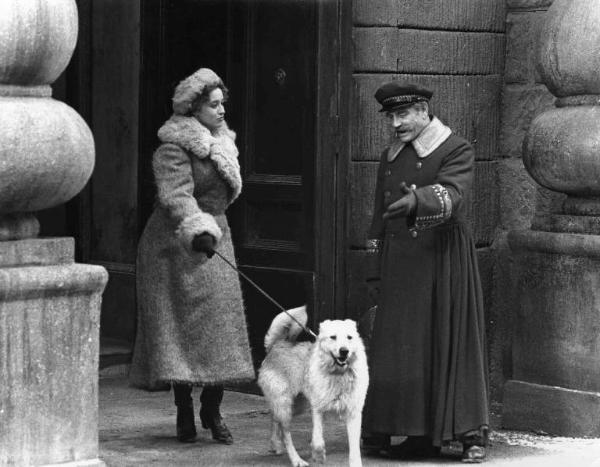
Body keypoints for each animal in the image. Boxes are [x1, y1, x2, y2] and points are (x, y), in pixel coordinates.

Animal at [258, 308, 370, 467]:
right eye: (333, 337)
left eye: (349, 337)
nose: (344, 351)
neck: (338, 375)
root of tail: (275, 345)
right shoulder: (317, 409)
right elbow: (317, 439)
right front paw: (318, 456)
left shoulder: (353, 413)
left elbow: (354, 449)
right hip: (285, 405)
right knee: (286, 433)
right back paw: (296, 459)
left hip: (296, 407)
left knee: (274, 418)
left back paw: (275, 444)